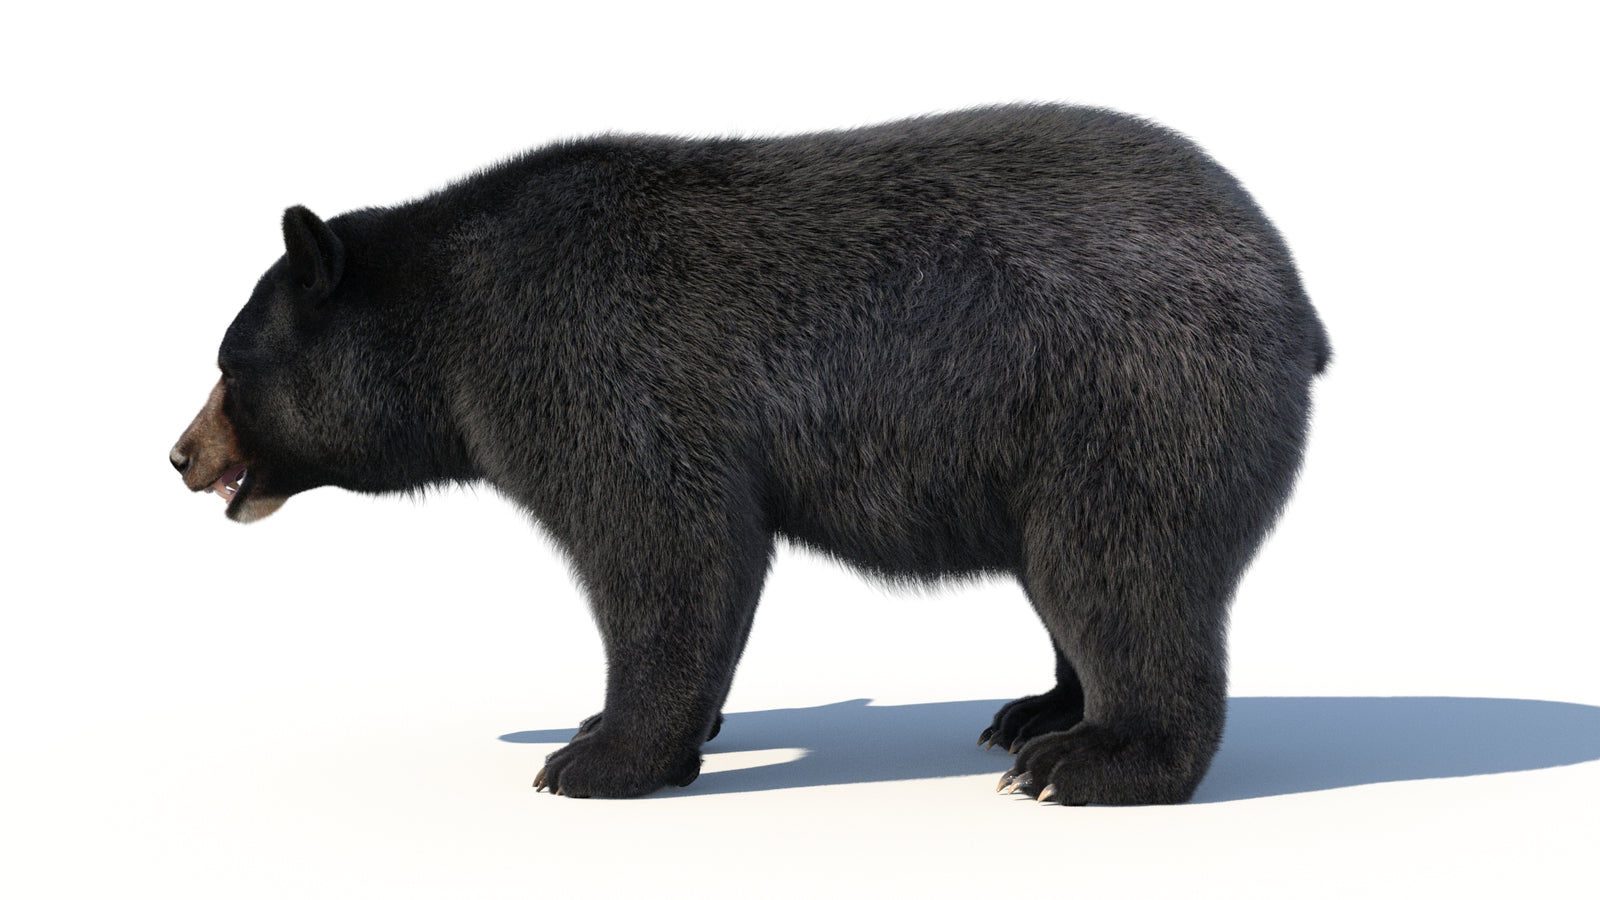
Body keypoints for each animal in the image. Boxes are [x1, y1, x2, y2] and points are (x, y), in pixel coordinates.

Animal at [170, 104, 1329, 805]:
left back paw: (1094, 757)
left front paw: (594, 758)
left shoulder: (584, 362)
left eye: (230, 362)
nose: (178, 454)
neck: (450, 321)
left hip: (1131, 396)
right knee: (1073, 575)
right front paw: (630, 725)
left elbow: (664, 541)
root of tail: (1294, 292)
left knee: (1123, 565)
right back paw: (1039, 710)